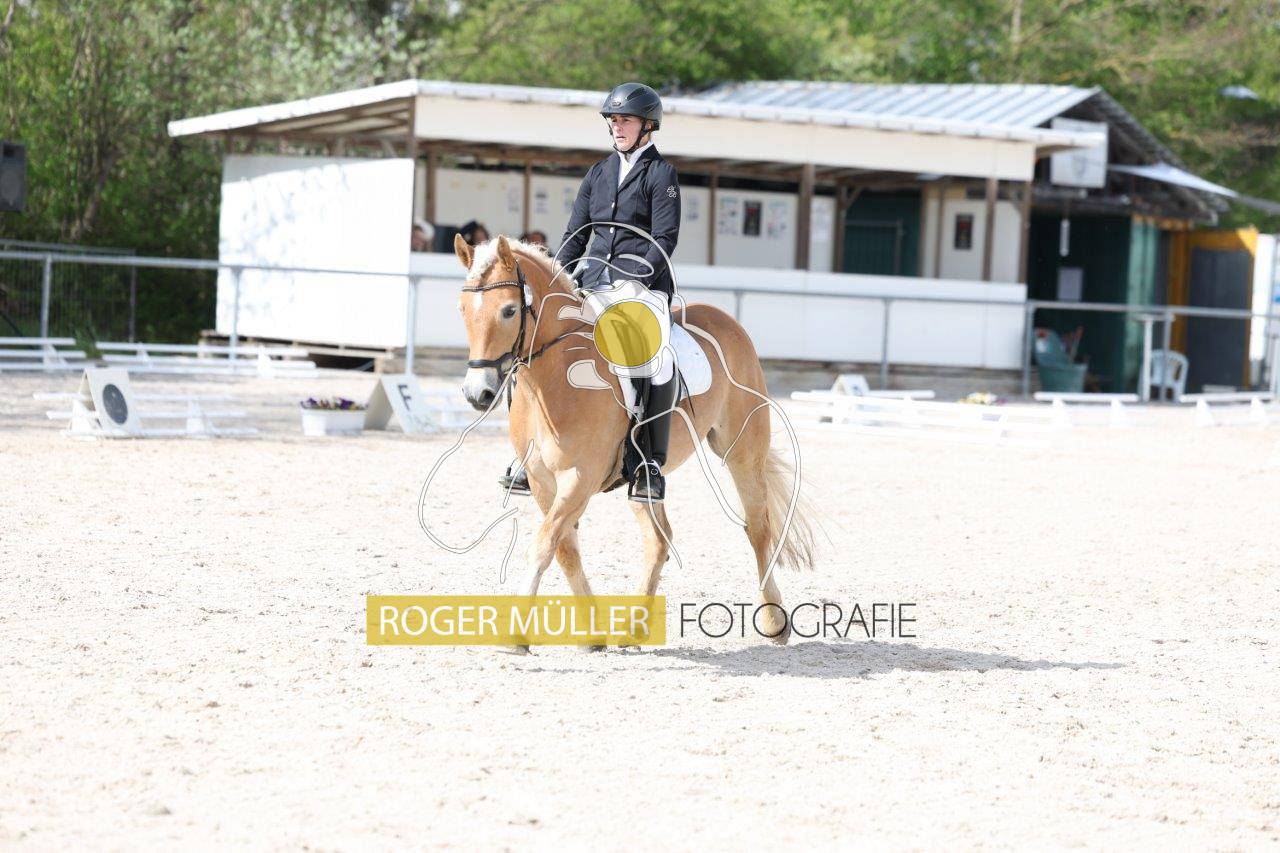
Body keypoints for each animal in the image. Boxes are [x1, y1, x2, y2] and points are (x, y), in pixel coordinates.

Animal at [453, 234, 817, 645]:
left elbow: (545, 545)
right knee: (659, 540)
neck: (553, 378)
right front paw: (593, 633)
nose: (477, 393)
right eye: (463, 309)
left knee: (758, 528)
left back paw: (773, 620)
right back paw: (634, 627)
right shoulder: (543, 481)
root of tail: (726, 320)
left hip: (742, 451)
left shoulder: (579, 479)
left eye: (509, 310)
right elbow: (564, 550)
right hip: (642, 478)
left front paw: (516, 637)